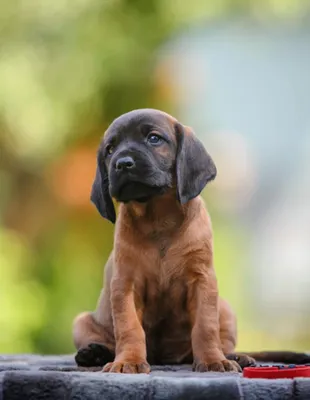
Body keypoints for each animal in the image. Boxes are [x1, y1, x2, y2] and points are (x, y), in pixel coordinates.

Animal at [73, 108, 310, 372]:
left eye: (154, 138)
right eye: (110, 149)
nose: (122, 163)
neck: (159, 220)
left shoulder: (202, 280)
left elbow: (205, 327)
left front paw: (213, 360)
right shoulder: (125, 284)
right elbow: (129, 328)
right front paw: (128, 361)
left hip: (226, 309)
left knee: (220, 341)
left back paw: (234, 356)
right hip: (81, 321)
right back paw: (94, 353)